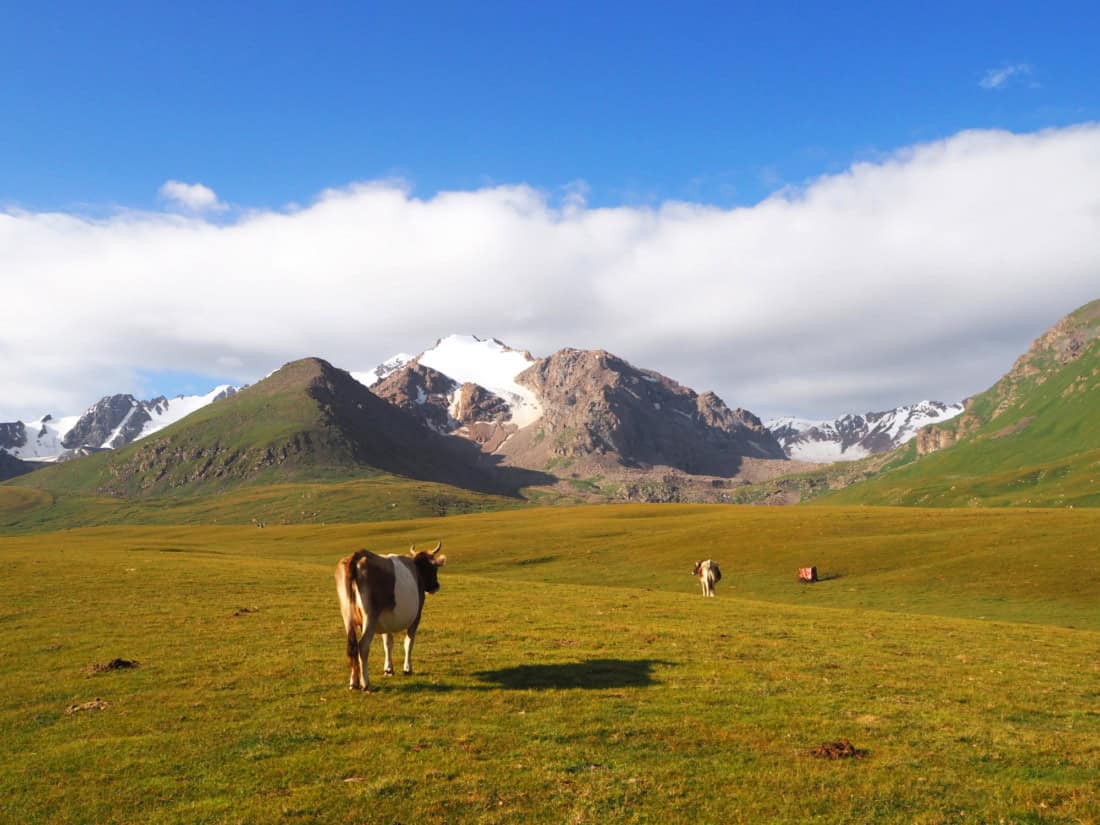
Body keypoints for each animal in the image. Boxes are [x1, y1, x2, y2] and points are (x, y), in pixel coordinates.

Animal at [335, 542, 446, 691]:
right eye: (433, 568)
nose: (436, 585)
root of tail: (358, 556)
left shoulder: (385, 620)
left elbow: (387, 643)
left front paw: (388, 669)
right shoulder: (416, 617)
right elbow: (408, 642)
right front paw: (407, 668)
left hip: (347, 615)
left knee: (352, 646)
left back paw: (354, 682)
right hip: (370, 616)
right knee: (363, 646)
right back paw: (366, 683)